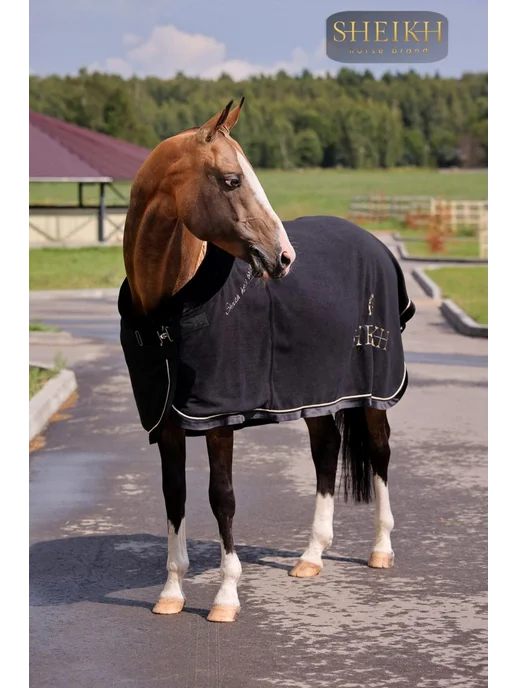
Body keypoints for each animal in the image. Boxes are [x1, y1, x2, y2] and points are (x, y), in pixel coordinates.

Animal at [118, 99, 415, 623]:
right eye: (232, 179)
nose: (284, 257)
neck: (168, 313)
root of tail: (374, 244)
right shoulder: (168, 423)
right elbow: (175, 496)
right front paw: (171, 592)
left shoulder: (218, 419)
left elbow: (222, 498)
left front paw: (225, 597)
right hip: (319, 397)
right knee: (326, 452)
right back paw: (312, 556)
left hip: (375, 393)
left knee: (379, 453)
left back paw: (381, 549)